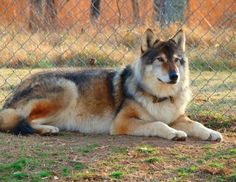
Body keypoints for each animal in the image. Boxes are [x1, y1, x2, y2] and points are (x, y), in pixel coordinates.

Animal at [0, 29, 222, 141]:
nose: (174, 76)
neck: (159, 97)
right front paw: (174, 133)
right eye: (160, 59)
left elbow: (197, 125)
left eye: (176, 60)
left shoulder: (178, 117)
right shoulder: (122, 122)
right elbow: (158, 124)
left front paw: (211, 133)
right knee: (22, 122)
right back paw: (48, 130)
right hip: (68, 90)